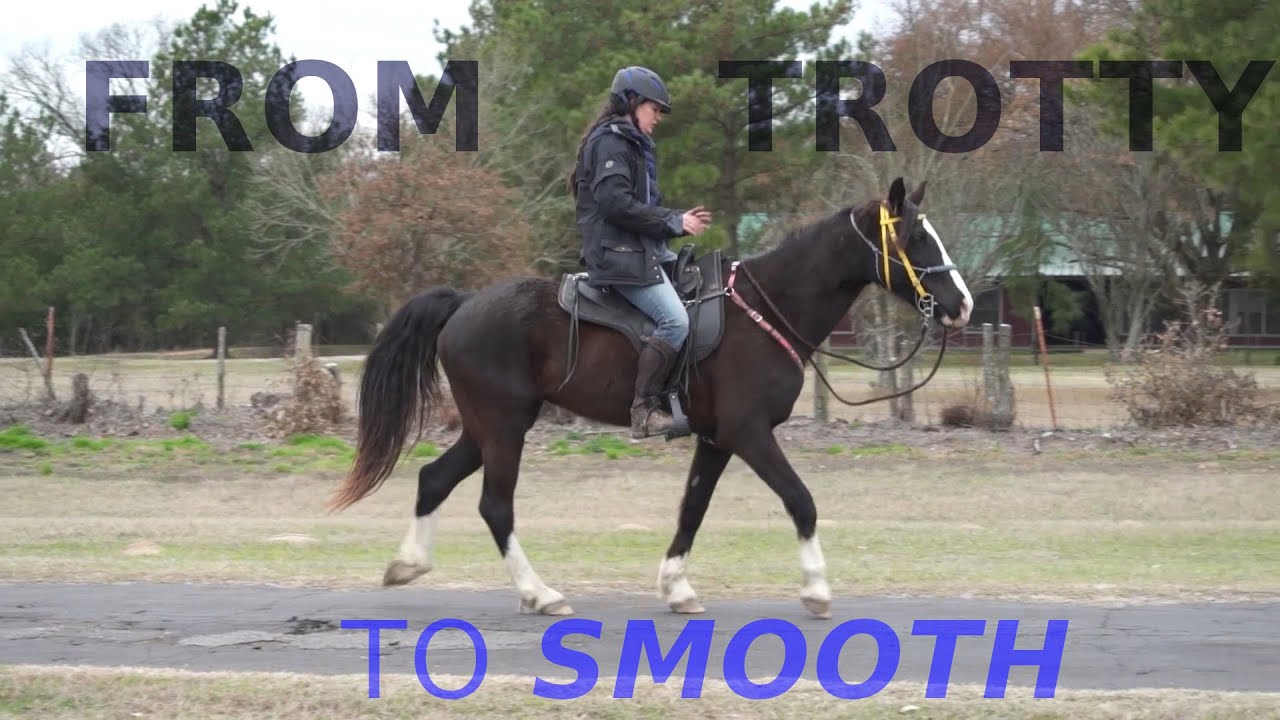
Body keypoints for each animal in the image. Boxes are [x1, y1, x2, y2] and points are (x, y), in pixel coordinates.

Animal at [327, 177, 973, 619]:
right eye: (917, 237)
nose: (962, 304)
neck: (764, 309)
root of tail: (463, 304)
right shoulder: (748, 433)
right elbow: (801, 500)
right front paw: (816, 589)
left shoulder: (717, 440)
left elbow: (692, 509)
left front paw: (676, 587)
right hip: (504, 428)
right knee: (495, 506)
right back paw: (540, 593)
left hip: (487, 428)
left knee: (434, 479)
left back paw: (409, 564)